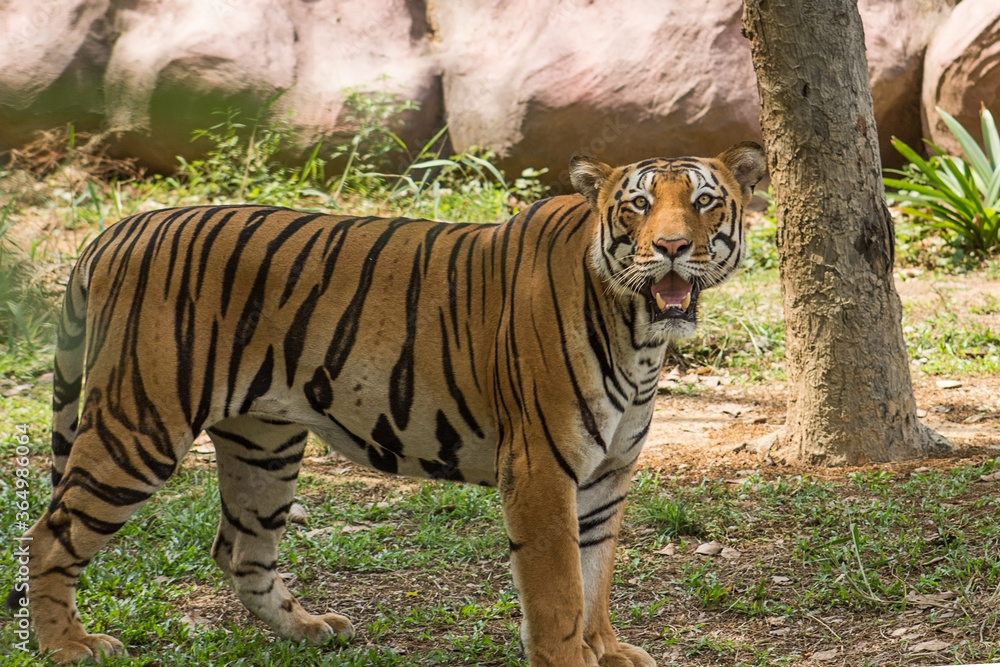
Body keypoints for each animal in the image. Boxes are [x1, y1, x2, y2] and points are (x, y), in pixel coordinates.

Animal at [11, 141, 765, 665]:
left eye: (704, 201)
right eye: (637, 205)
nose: (671, 247)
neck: (641, 334)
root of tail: (116, 231)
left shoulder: (607, 473)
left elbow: (596, 573)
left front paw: (605, 647)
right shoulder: (542, 468)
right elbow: (558, 589)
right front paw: (569, 657)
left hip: (264, 442)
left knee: (240, 549)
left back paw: (310, 628)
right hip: (139, 426)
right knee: (46, 535)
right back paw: (68, 645)